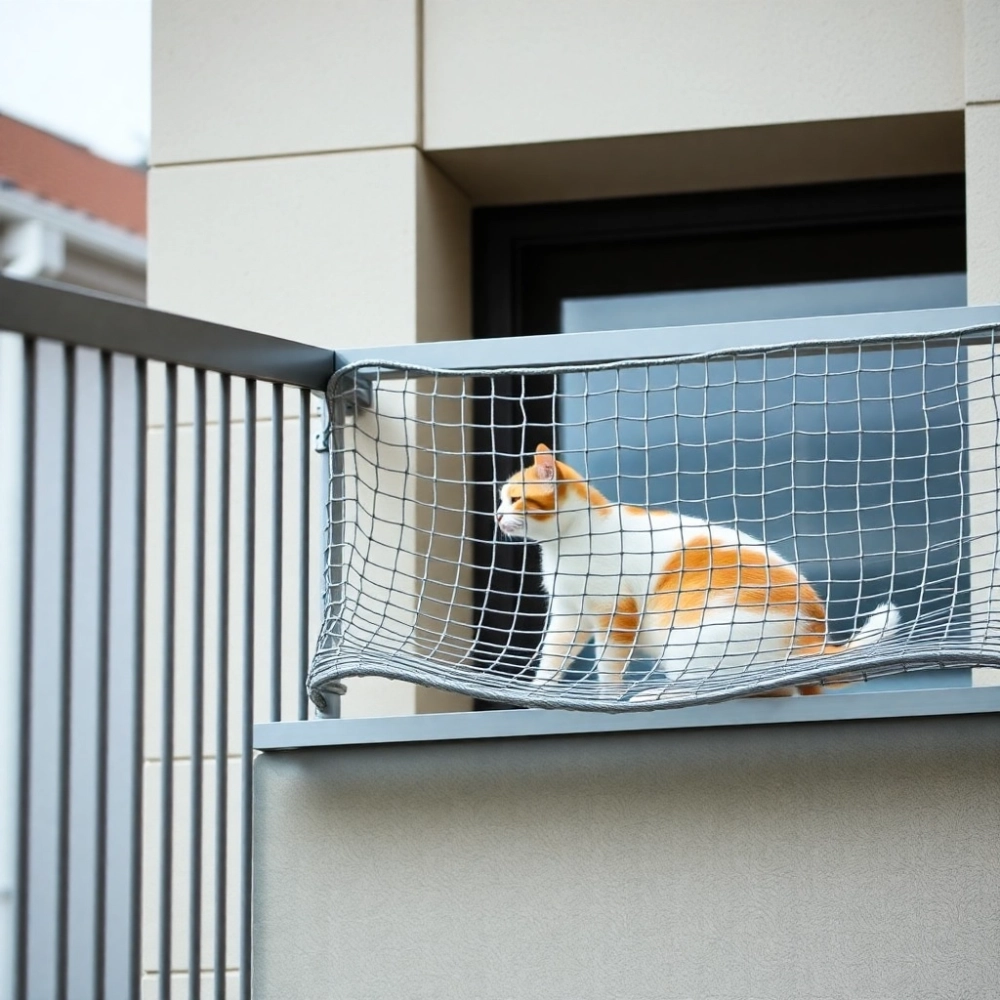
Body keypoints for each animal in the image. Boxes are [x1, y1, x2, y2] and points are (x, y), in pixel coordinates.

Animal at [494, 446, 900, 696]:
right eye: (500, 499)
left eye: (514, 499)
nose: (496, 515)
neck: (567, 540)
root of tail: (814, 633)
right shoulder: (570, 614)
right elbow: (553, 658)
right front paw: (539, 693)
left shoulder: (616, 613)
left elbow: (609, 666)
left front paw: (609, 696)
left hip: (688, 640)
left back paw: (658, 694)